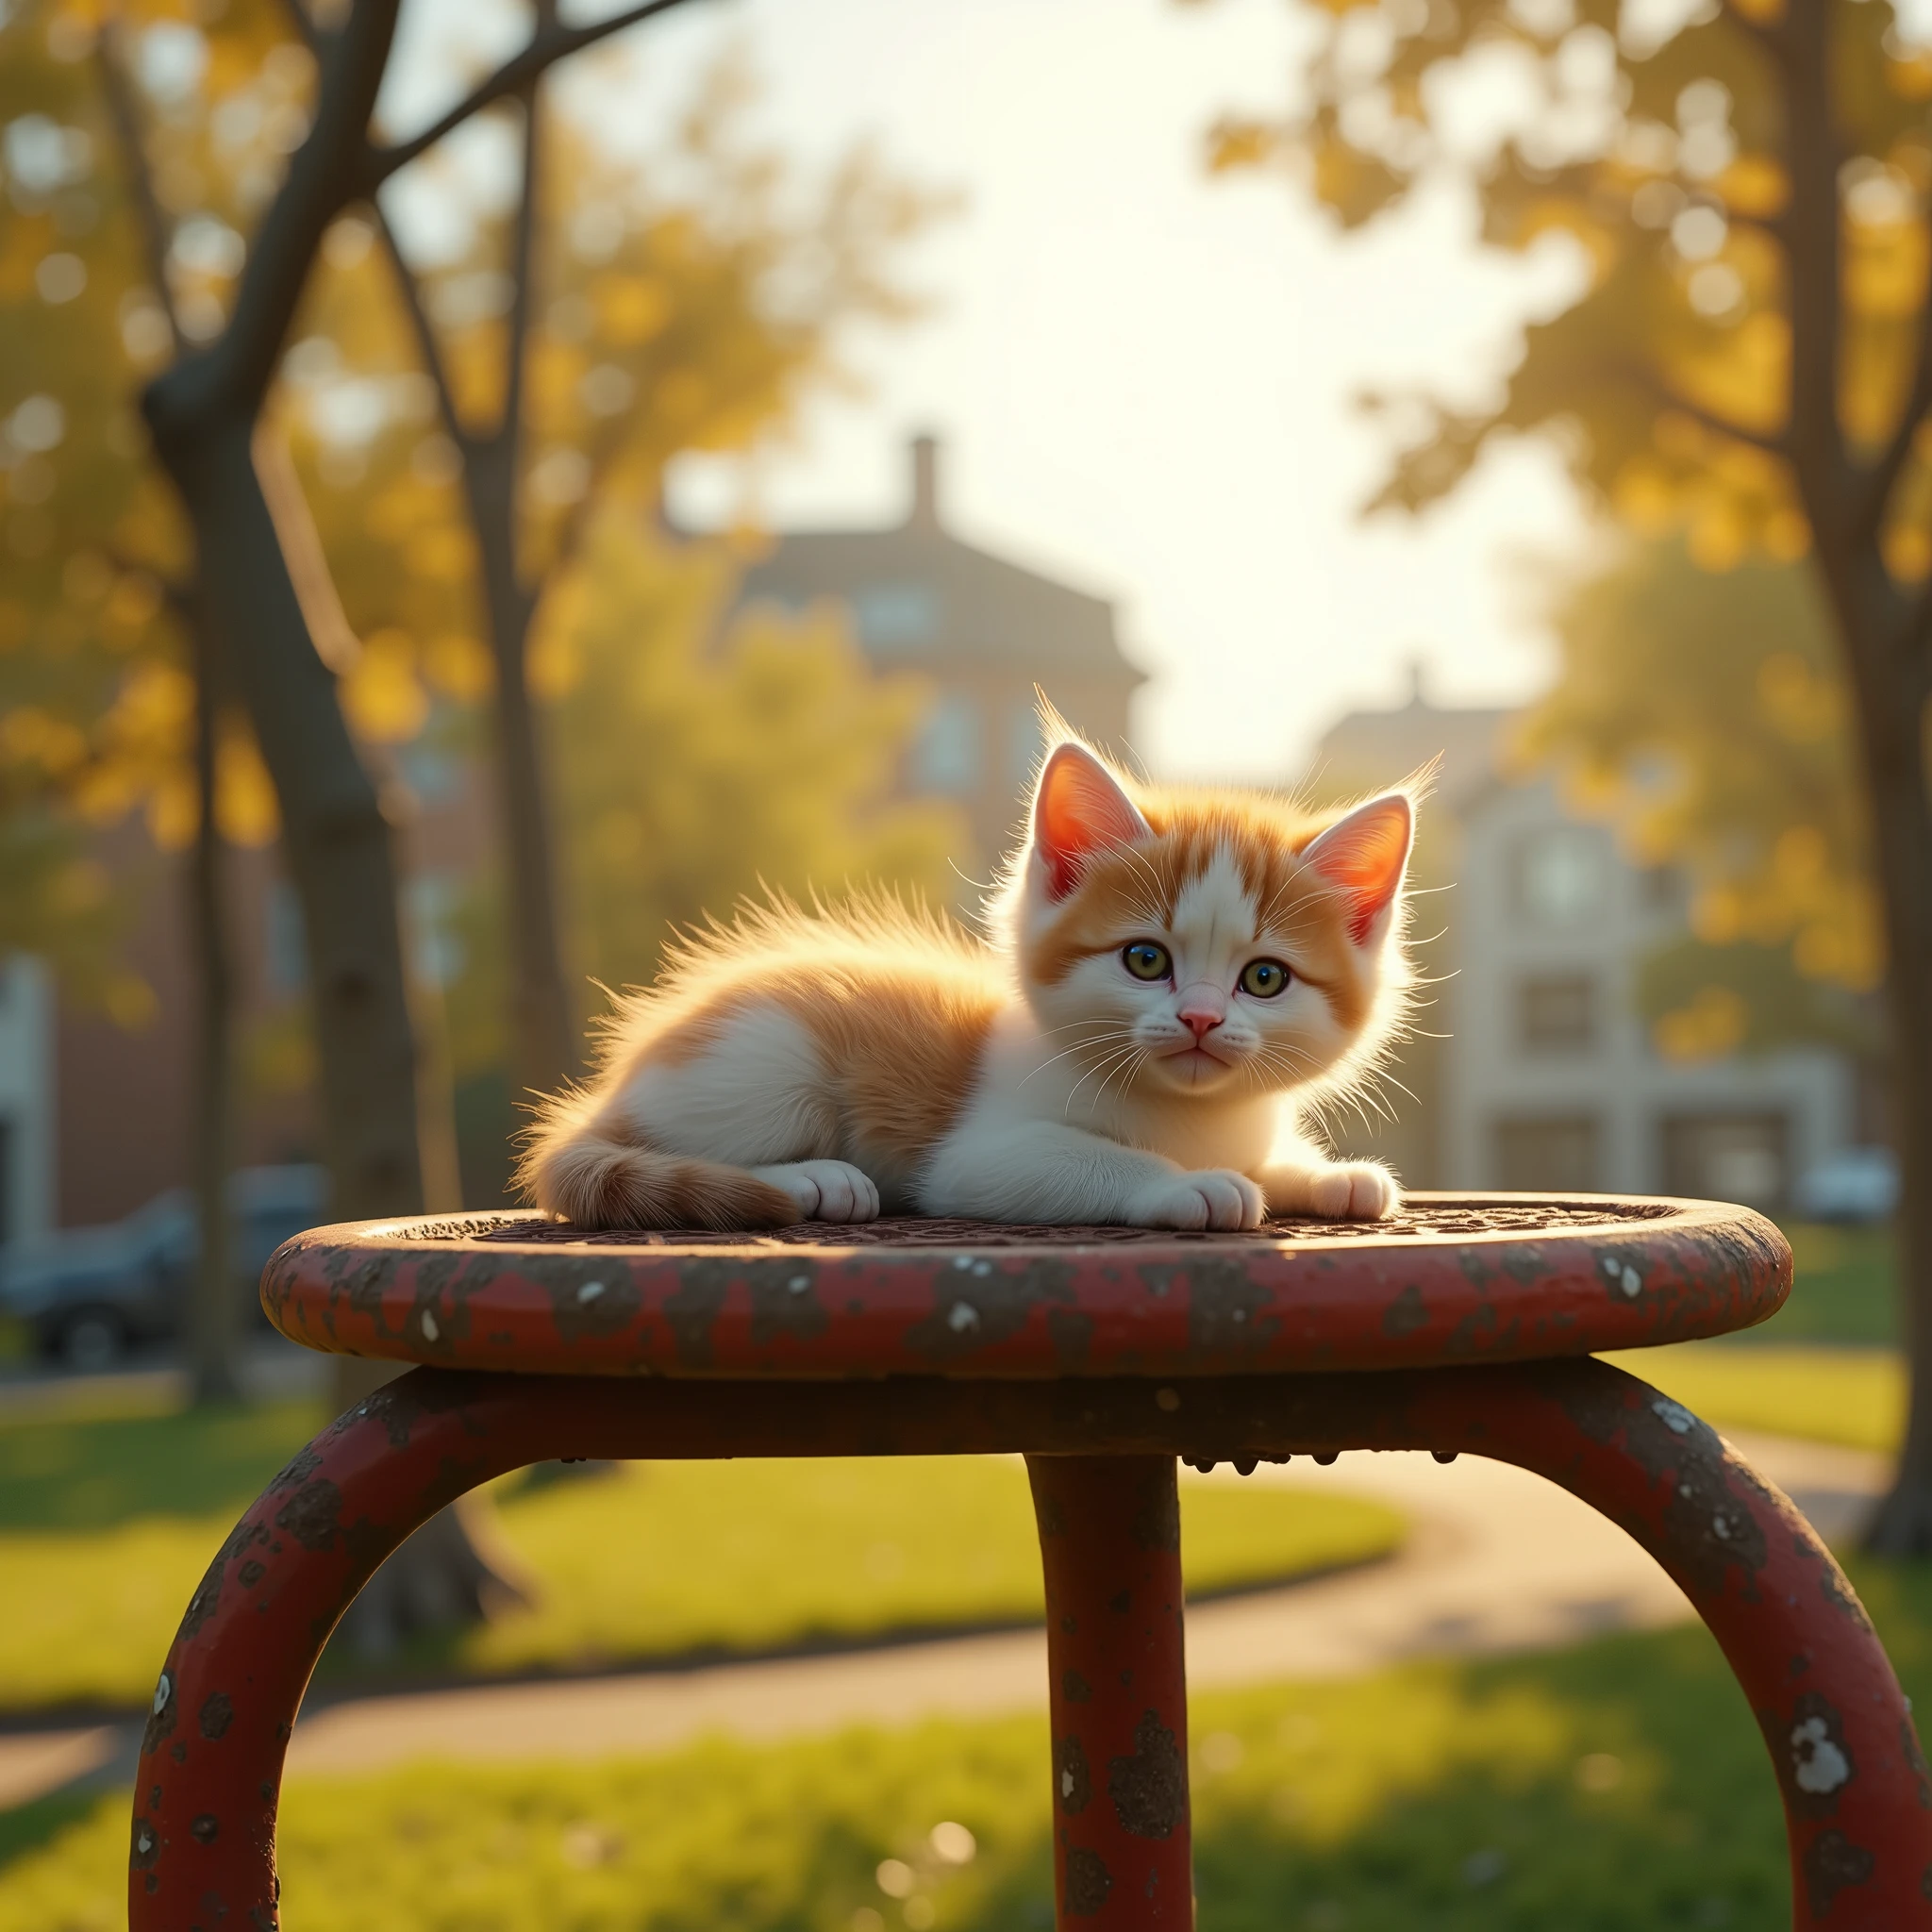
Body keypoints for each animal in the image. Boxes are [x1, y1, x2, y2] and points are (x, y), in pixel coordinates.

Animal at [521, 730, 1414, 1228]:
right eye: (1146, 960)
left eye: (1264, 978)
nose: (1200, 1019)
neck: (1190, 1118)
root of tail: (618, 1083)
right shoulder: (977, 1155)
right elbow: (1079, 1161)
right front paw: (1189, 1185)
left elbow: (1269, 1158)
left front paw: (1326, 1176)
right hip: (762, 1068)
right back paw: (812, 1179)